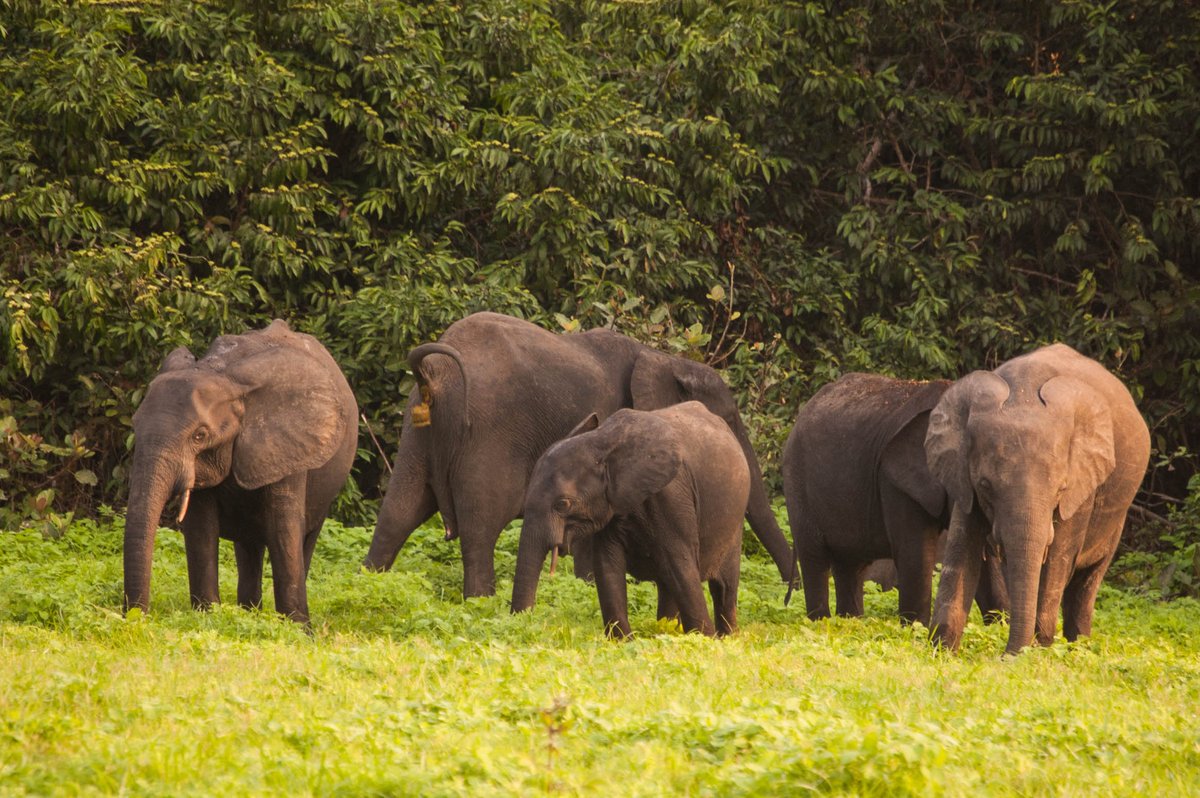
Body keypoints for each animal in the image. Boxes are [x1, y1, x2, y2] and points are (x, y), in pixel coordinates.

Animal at [123, 316, 355, 624]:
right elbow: (201, 529)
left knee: (304, 538)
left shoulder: (289, 446)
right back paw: (249, 613)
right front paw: (209, 616)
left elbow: (284, 530)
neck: (224, 375)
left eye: (200, 435)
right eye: (135, 427)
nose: (136, 617)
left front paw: (298, 630)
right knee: (249, 549)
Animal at [362, 312, 796, 597]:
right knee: (480, 527)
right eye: (729, 420)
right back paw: (481, 602)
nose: (788, 594)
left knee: (397, 513)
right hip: (487, 433)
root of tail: (433, 374)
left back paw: (367, 582)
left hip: (417, 428)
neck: (663, 358)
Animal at [508, 400, 748, 638]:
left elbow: (681, 564)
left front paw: (703, 640)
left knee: (723, 587)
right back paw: (666, 631)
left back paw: (726, 637)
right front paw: (623, 641)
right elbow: (608, 566)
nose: (524, 624)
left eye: (563, 504)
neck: (602, 444)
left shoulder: (670, 495)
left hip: (734, 523)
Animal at [782, 374, 1008, 628]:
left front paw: (1000, 625)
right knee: (815, 557)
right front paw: (915, 629)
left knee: (850, 564)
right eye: (984, 484)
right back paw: (821, 623)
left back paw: (849, 623)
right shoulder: (895, 482)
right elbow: (915, 556)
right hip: (798, 484)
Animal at [921, 343, 1147, 652]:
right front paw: (941, 652)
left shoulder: (1081, 489)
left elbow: (1057, 560)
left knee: (1087, 581)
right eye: (985, 485)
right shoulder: (963, 480)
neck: (1024, 394)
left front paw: (1037, 651)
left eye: (1061, 489)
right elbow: (962, 548)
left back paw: (1078, 647)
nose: (1005, 657)